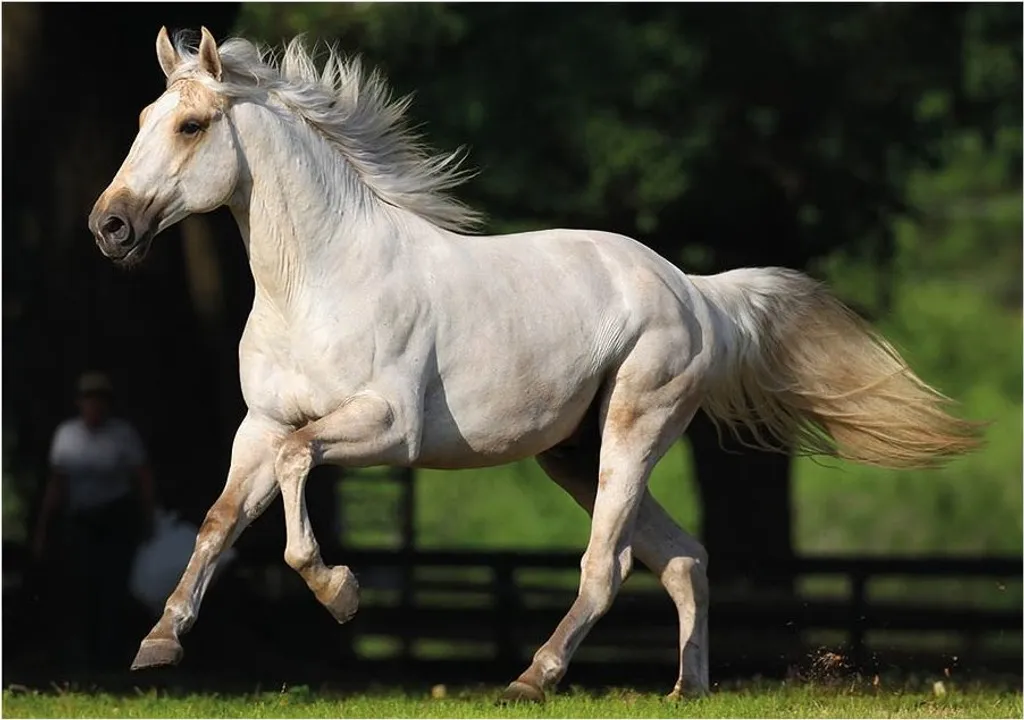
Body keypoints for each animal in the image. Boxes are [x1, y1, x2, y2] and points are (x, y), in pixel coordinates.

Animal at [88, 26, 982, 702]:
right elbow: (219, 518)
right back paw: (683, 690)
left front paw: (341, 593)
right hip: (574, 454)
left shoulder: (386, 428)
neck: (319, 282)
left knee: (608, 562)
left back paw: (533, 678)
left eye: (191, 126)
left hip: (632, 430)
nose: (110, 227)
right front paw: (158, 644)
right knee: (682, 555)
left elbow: (299, 473)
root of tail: (697, 292)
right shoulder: (260, 424)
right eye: (141, 115)